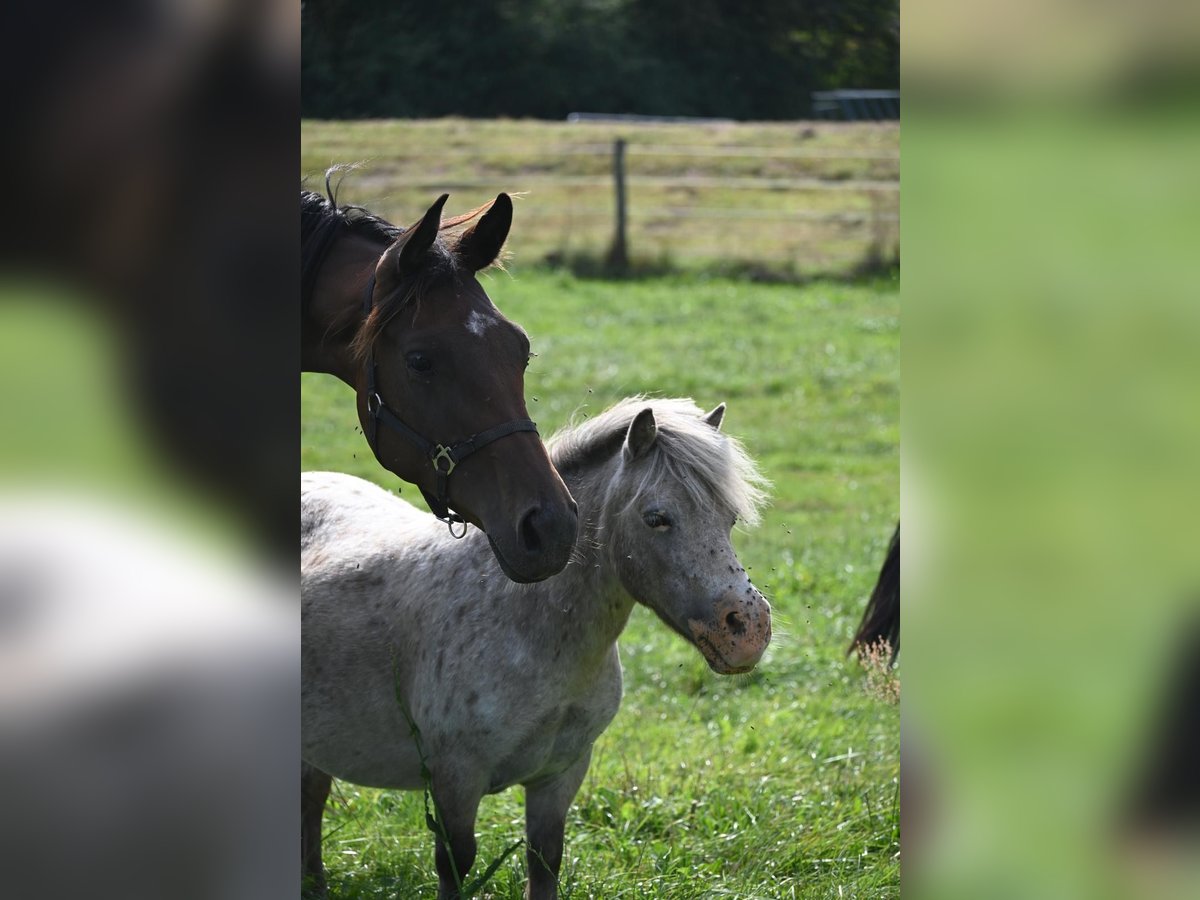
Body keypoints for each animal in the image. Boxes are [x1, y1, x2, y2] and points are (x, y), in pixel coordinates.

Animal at [297, 400, 768, 900]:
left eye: (729, 519)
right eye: (656, 518)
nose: (748, 629)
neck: (529, 624)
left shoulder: (560, 774)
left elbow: (545, 860)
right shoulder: (456, 778)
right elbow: (455, 863)